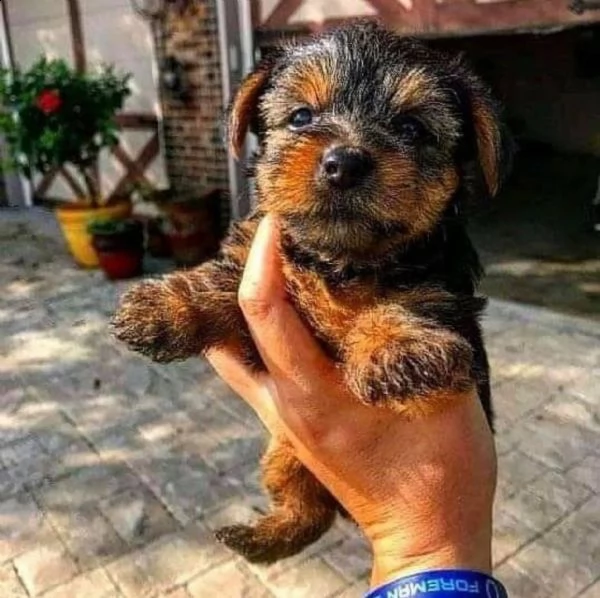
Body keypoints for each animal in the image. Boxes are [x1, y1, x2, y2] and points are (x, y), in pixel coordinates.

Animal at [112, 22, 510, 568]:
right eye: (302, 116)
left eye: (412, 129)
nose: (344, 161)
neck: (339, 261)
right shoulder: (253, 271)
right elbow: (219, 279)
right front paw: (163, 306)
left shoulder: (442, 278)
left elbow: (416, 298)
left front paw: (398, 348)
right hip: (285, 454)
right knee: (307, 509)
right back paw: (258, 537)